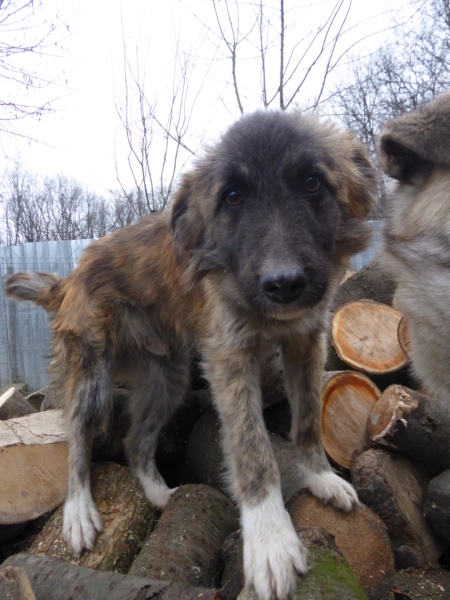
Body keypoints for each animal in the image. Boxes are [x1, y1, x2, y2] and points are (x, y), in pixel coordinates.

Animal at [6, 109, 376, 600]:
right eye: (232, 197)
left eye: (313, 183)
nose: (283, 283)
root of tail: (68, 279)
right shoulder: (229, 357)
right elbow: (253, 449)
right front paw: (270, 539)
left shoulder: (306, 340)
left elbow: (308, 420)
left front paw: (320, 477)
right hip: (92, 379)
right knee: (76, 440)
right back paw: (79, 510)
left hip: (169, 378)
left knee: (135, 441)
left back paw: (160, 496)